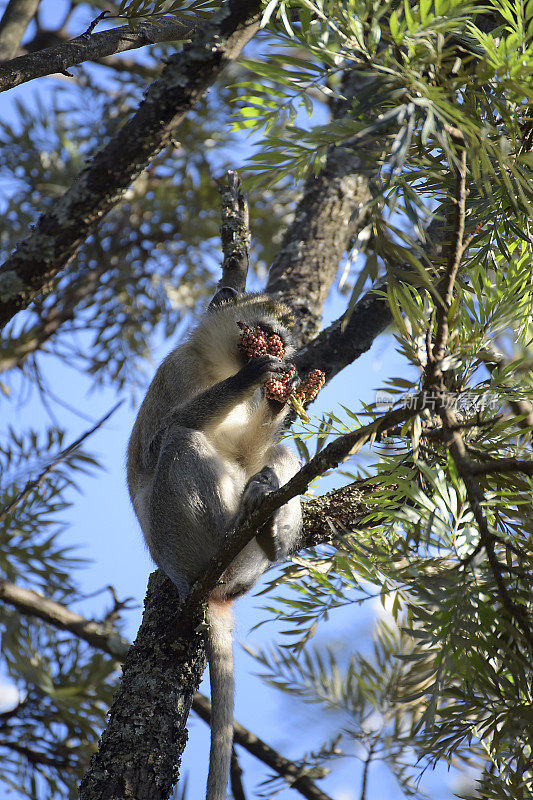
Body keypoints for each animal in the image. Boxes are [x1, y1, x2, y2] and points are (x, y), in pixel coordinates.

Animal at [126, 288, 302, 800]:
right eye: (263, 330)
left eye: (281, 337)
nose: (278, 349)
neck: (217, 366)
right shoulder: (177, 368)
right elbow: (160, 439)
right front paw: (253, 376)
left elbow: (250, 452)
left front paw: (281, 396)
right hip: (179, 540)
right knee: (180, 440)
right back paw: (234, 529)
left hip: (247, 564)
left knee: (280, 454)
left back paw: (268, 525)